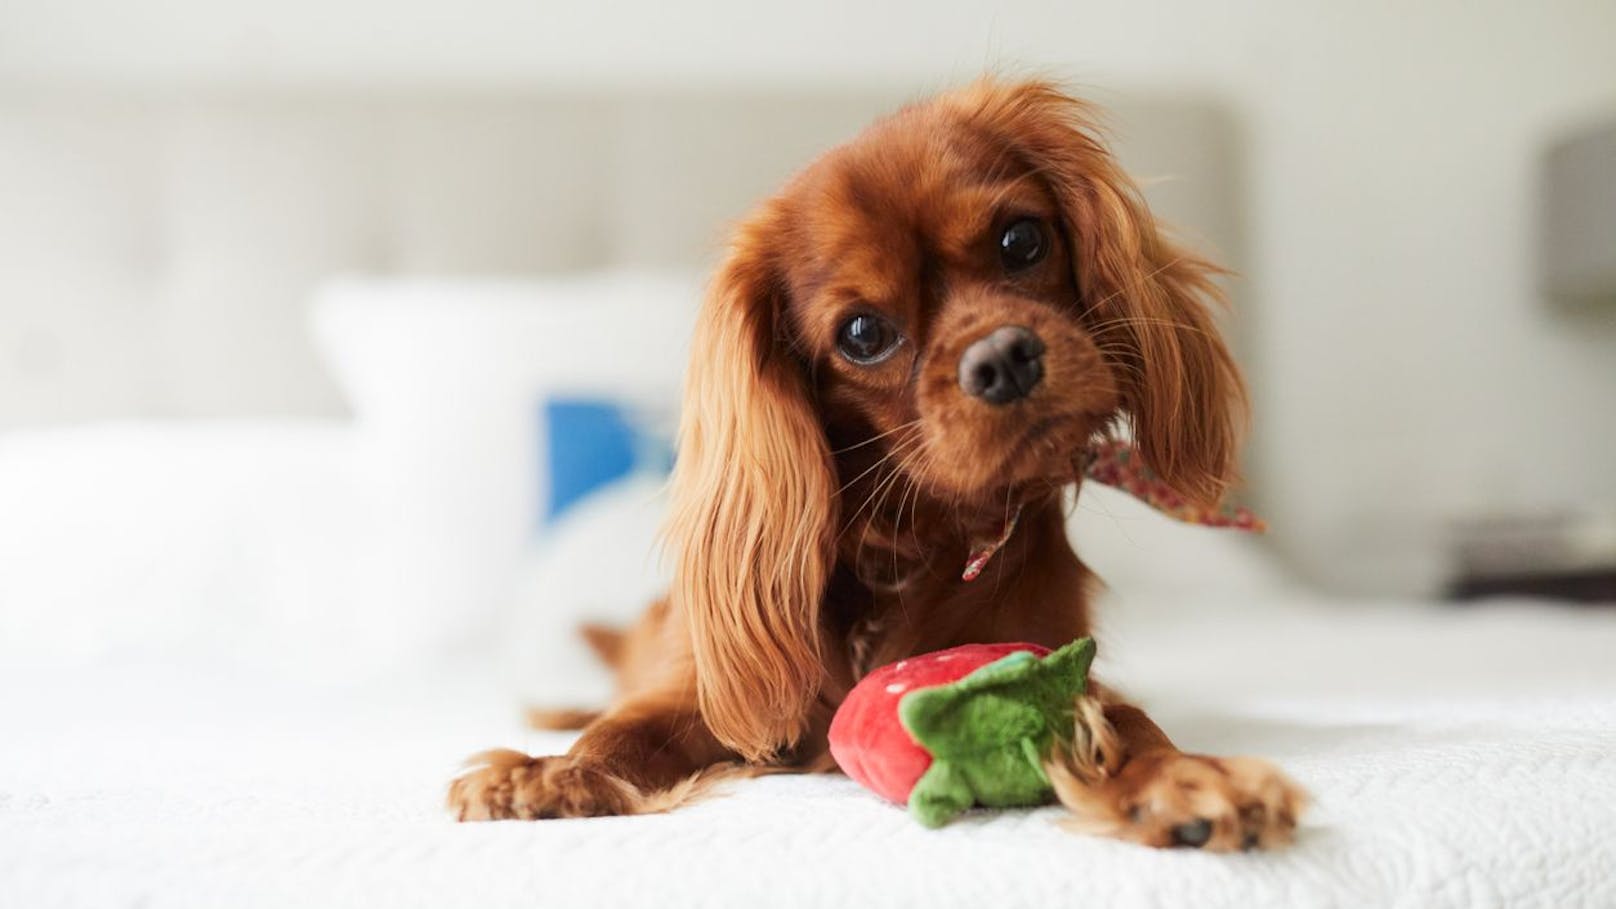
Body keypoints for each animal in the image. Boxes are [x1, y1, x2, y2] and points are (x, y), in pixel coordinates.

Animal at [449, 79, 1305, 847]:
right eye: (863, 333)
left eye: (1022, 240)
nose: (1003, 357)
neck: (902, 553)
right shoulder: (709, 695)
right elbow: (632, 727)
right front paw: (556, 772)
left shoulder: (1056, 662)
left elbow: (1123, 720)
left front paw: (1183, 777)